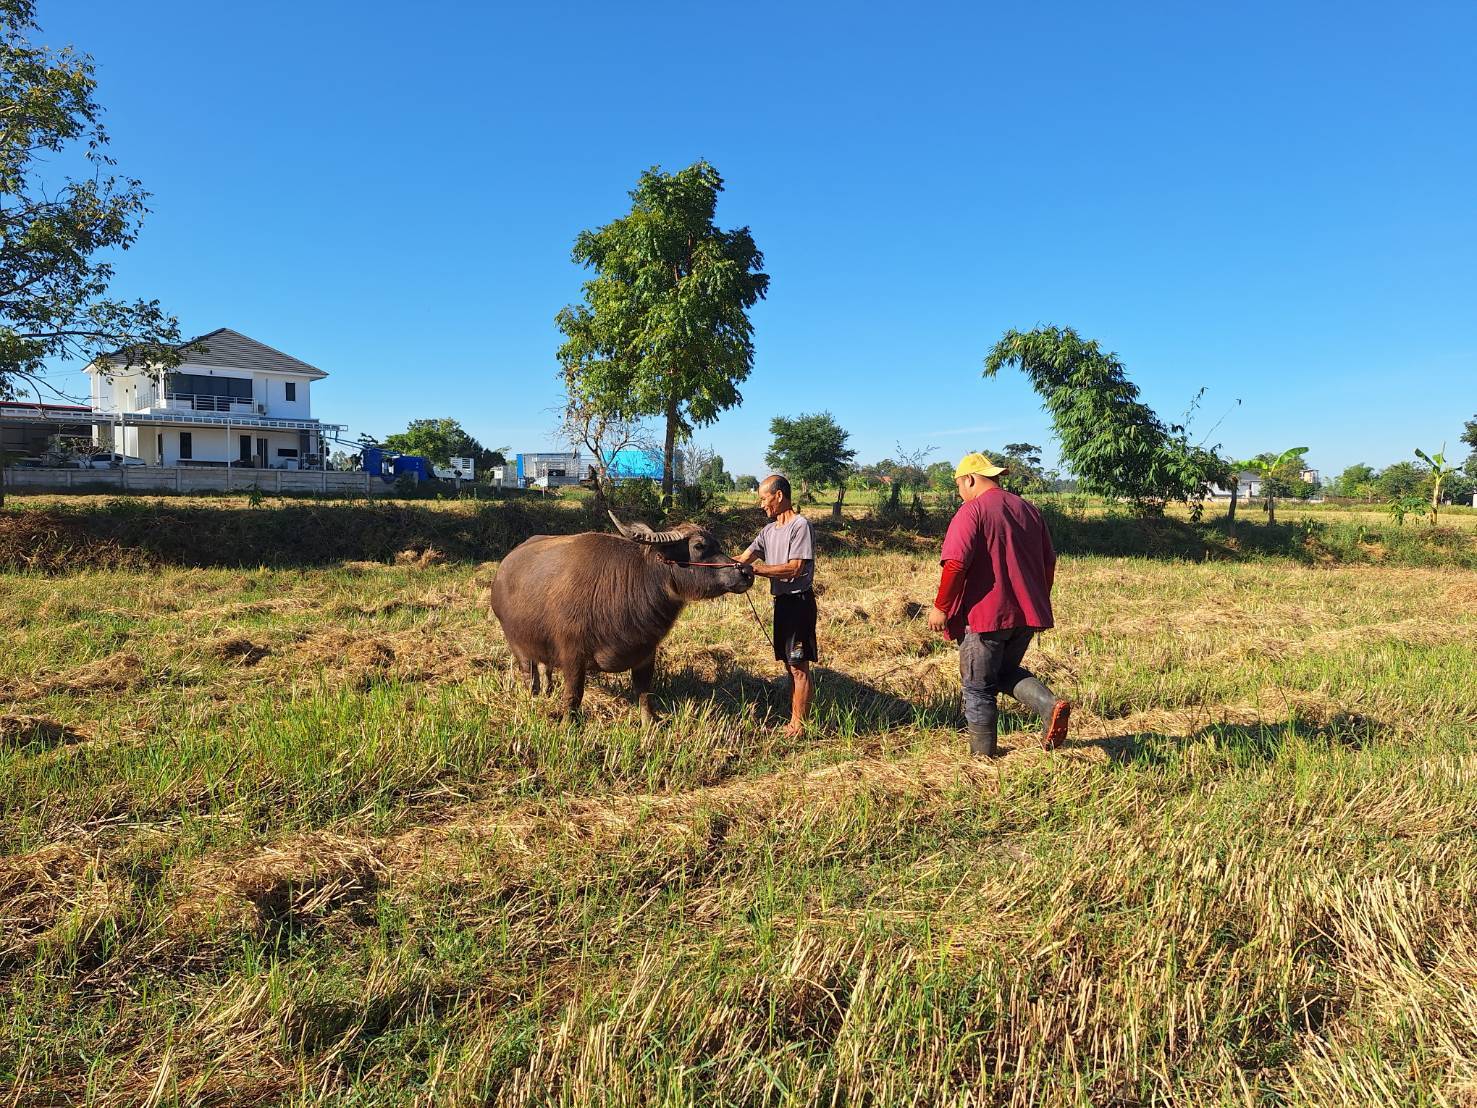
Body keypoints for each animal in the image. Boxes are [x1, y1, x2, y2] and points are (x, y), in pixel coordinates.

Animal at [490, 512, 755, 722]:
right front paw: (568, 724)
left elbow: (644, 692)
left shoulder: (646, 653)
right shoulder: (572, 654)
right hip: (517, 644)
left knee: (545, 669)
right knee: (530, 674)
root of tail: (503, 569)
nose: (746, 571)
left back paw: (547, 691)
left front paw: (650, 722)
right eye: (699, 546)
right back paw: (534, 697)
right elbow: (574, 694)